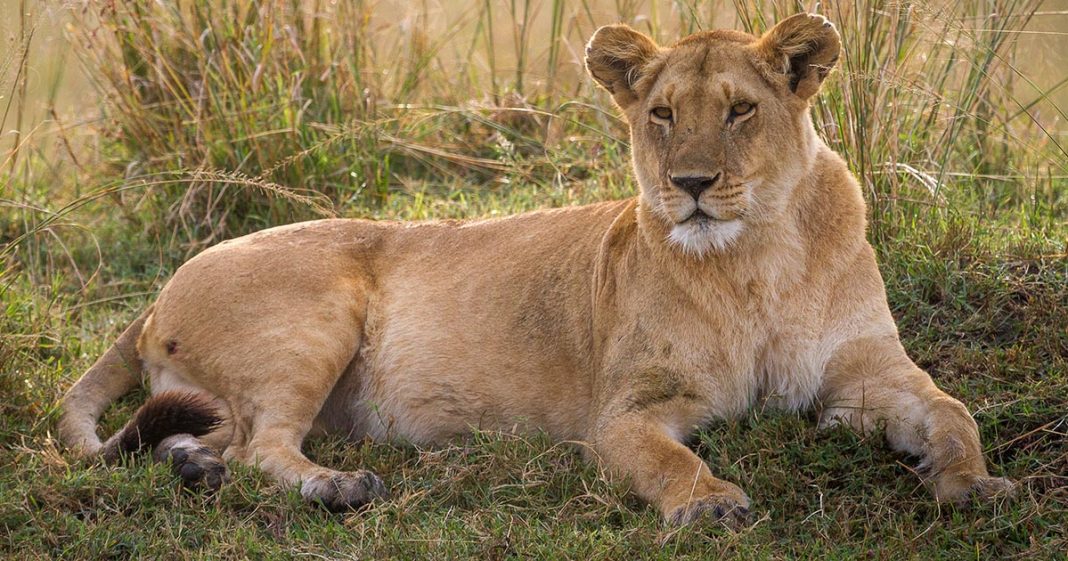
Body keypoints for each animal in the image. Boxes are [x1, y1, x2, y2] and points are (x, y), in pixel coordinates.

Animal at [59, 13, 1014, 526]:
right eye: (663, 113)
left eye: (741, 110)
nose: (690, 184)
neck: (757, 260)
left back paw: (198, 469)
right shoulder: (623, 411)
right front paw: (707, 502)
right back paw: (339, 484)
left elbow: (953, 411)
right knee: (264, 446)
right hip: (317, 316)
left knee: (206, 436)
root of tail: (156, 294)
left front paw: (973, 484)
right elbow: (666, 461)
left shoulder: (867, 375)